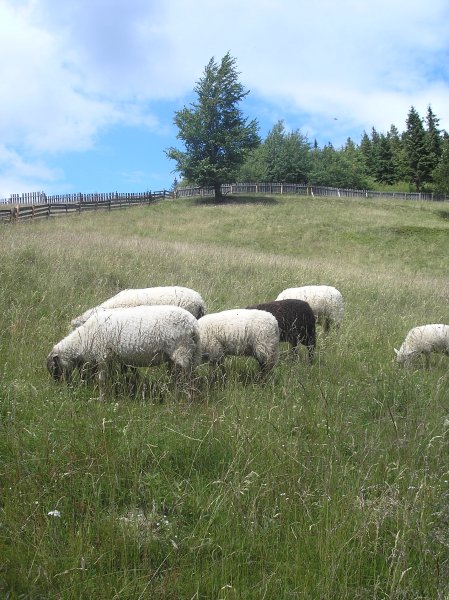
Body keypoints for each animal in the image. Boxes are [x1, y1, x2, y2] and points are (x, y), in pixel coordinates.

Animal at [47, 304, 200, 398]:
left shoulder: (103, 355)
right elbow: (108, 379)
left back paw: (182, 399)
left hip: (181, 351)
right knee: (181, 377)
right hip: (186, 354)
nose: (59, 385)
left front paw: (101, 399)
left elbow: (102, 380)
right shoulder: (109, 358)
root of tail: (194, 325)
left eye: (54, 368)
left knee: (188, 378)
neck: (85, 338)